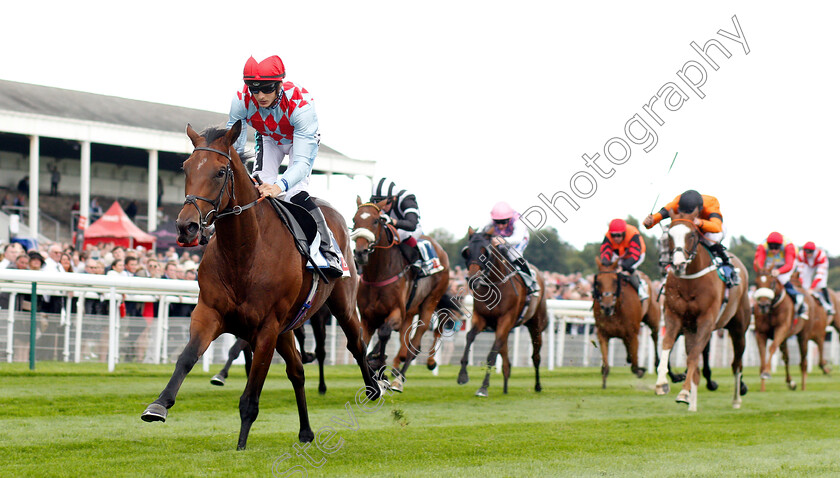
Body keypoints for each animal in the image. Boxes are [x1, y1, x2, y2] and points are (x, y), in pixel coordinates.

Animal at [142, 122, 380, 448]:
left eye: (220, 172)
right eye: (186, 167)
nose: (186, 226)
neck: (244, 251)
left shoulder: (267, 326)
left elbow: (251, 395)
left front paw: (241, 445)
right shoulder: (210, 312)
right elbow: (187, 357)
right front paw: (159, 405)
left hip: (341, 302)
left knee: (355, 342)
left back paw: (374, 388)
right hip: (288, 326)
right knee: (297, 371)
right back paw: (306, 431)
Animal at [350, 190, 450, 392]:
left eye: (376, 221)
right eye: (354, 220)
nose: (360, 253)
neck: (378, 275)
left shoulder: (396, 312)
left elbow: (384, 332)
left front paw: (380, 366)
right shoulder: (367, 318)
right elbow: (364, 343)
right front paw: (374, 365)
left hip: (429, 303)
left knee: (414, 345)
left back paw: (399, 379)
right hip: (410, 312)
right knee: (404, 344)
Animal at [456, 226, 548, 398]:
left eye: (484, 252)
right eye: (467, 252)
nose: (473, 280)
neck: (494, 285)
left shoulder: (505, 320)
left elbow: (492, 354)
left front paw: (483, 388)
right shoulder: (481, 318)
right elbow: (470, 336)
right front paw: (462, 375)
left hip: (535, 324)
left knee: (536, 356)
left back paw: (538, 386)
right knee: (506, 359)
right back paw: (505, 387)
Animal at [592, 258, 664, 388]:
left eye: (615, 281)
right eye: (598, 282)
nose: (606, 307)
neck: (616, 309)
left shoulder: (633, 334)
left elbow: (635, 366)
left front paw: (641, 370)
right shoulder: (602, 333)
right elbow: (606, 364)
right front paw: (604, 382)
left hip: (653, 320)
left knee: (654, 337)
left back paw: (657, 365)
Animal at [644, 190, 748, 410]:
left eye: (691, 234)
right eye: (669, 235)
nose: (677, 264)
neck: (691, 280)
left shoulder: (706, 321)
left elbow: (693, 357)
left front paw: (684, 392)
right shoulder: (674, 317)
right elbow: (667, 347)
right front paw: (662, 384)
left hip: (738, 327)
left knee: (736, 363)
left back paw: (737, 397)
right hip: (691, 328)